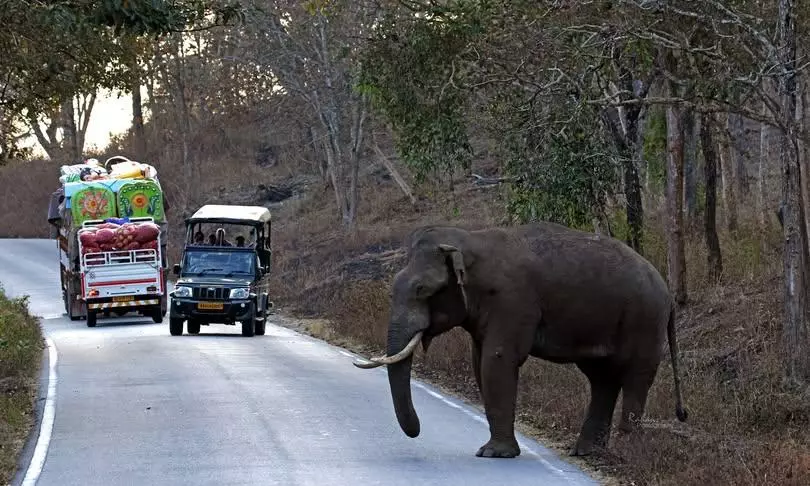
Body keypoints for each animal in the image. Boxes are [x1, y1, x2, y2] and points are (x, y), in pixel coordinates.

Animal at [353, 222, 688, 458]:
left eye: (422, 289)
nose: (417, 432)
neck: (470, 240)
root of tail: (667, 292)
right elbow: (480, 363)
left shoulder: (513, 301)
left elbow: (497, 360)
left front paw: (493, 454)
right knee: (602, 380)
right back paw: (587, 453)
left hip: (644, 320)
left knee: (635, 377)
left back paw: (627, 454)